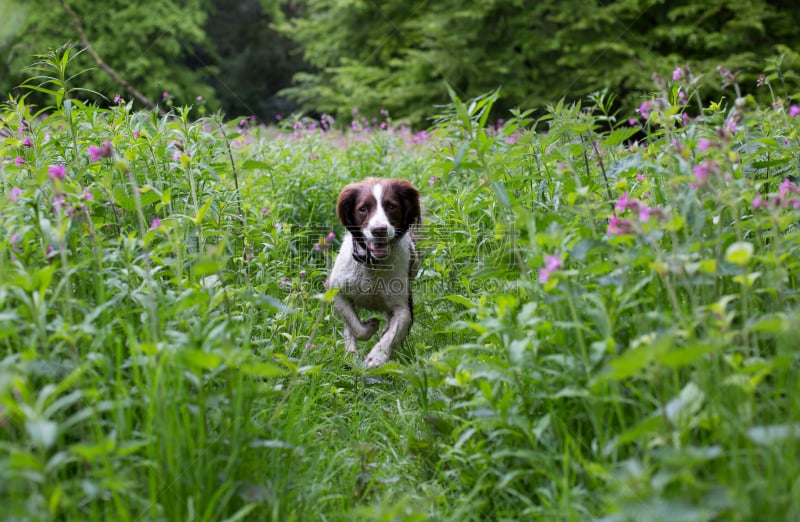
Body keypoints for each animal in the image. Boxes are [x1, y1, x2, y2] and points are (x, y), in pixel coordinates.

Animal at [328, 178, 422, 366]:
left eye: (392, 206)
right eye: (363, 208)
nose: (379, 230)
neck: (373, 265)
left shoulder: (403, 306)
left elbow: (392, 334)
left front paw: (376, 358)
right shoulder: (338, 292)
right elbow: (356, 328)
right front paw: (370, 325)